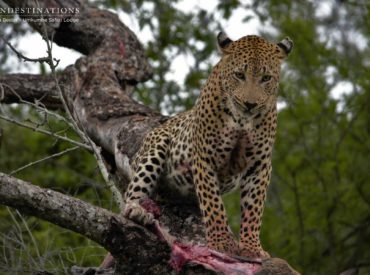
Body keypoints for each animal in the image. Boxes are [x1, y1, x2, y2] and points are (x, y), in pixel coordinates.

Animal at [123, 31, 294, 258]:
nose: (250, 105)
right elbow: (213, 203)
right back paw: (136, 210)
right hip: (155, 149)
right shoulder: (205, 157)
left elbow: (254, 209)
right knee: (132, 192)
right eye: (239, 75)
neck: (242, 120)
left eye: (266, 78)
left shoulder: (260, 165)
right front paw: (221, 242)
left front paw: (251, 247)